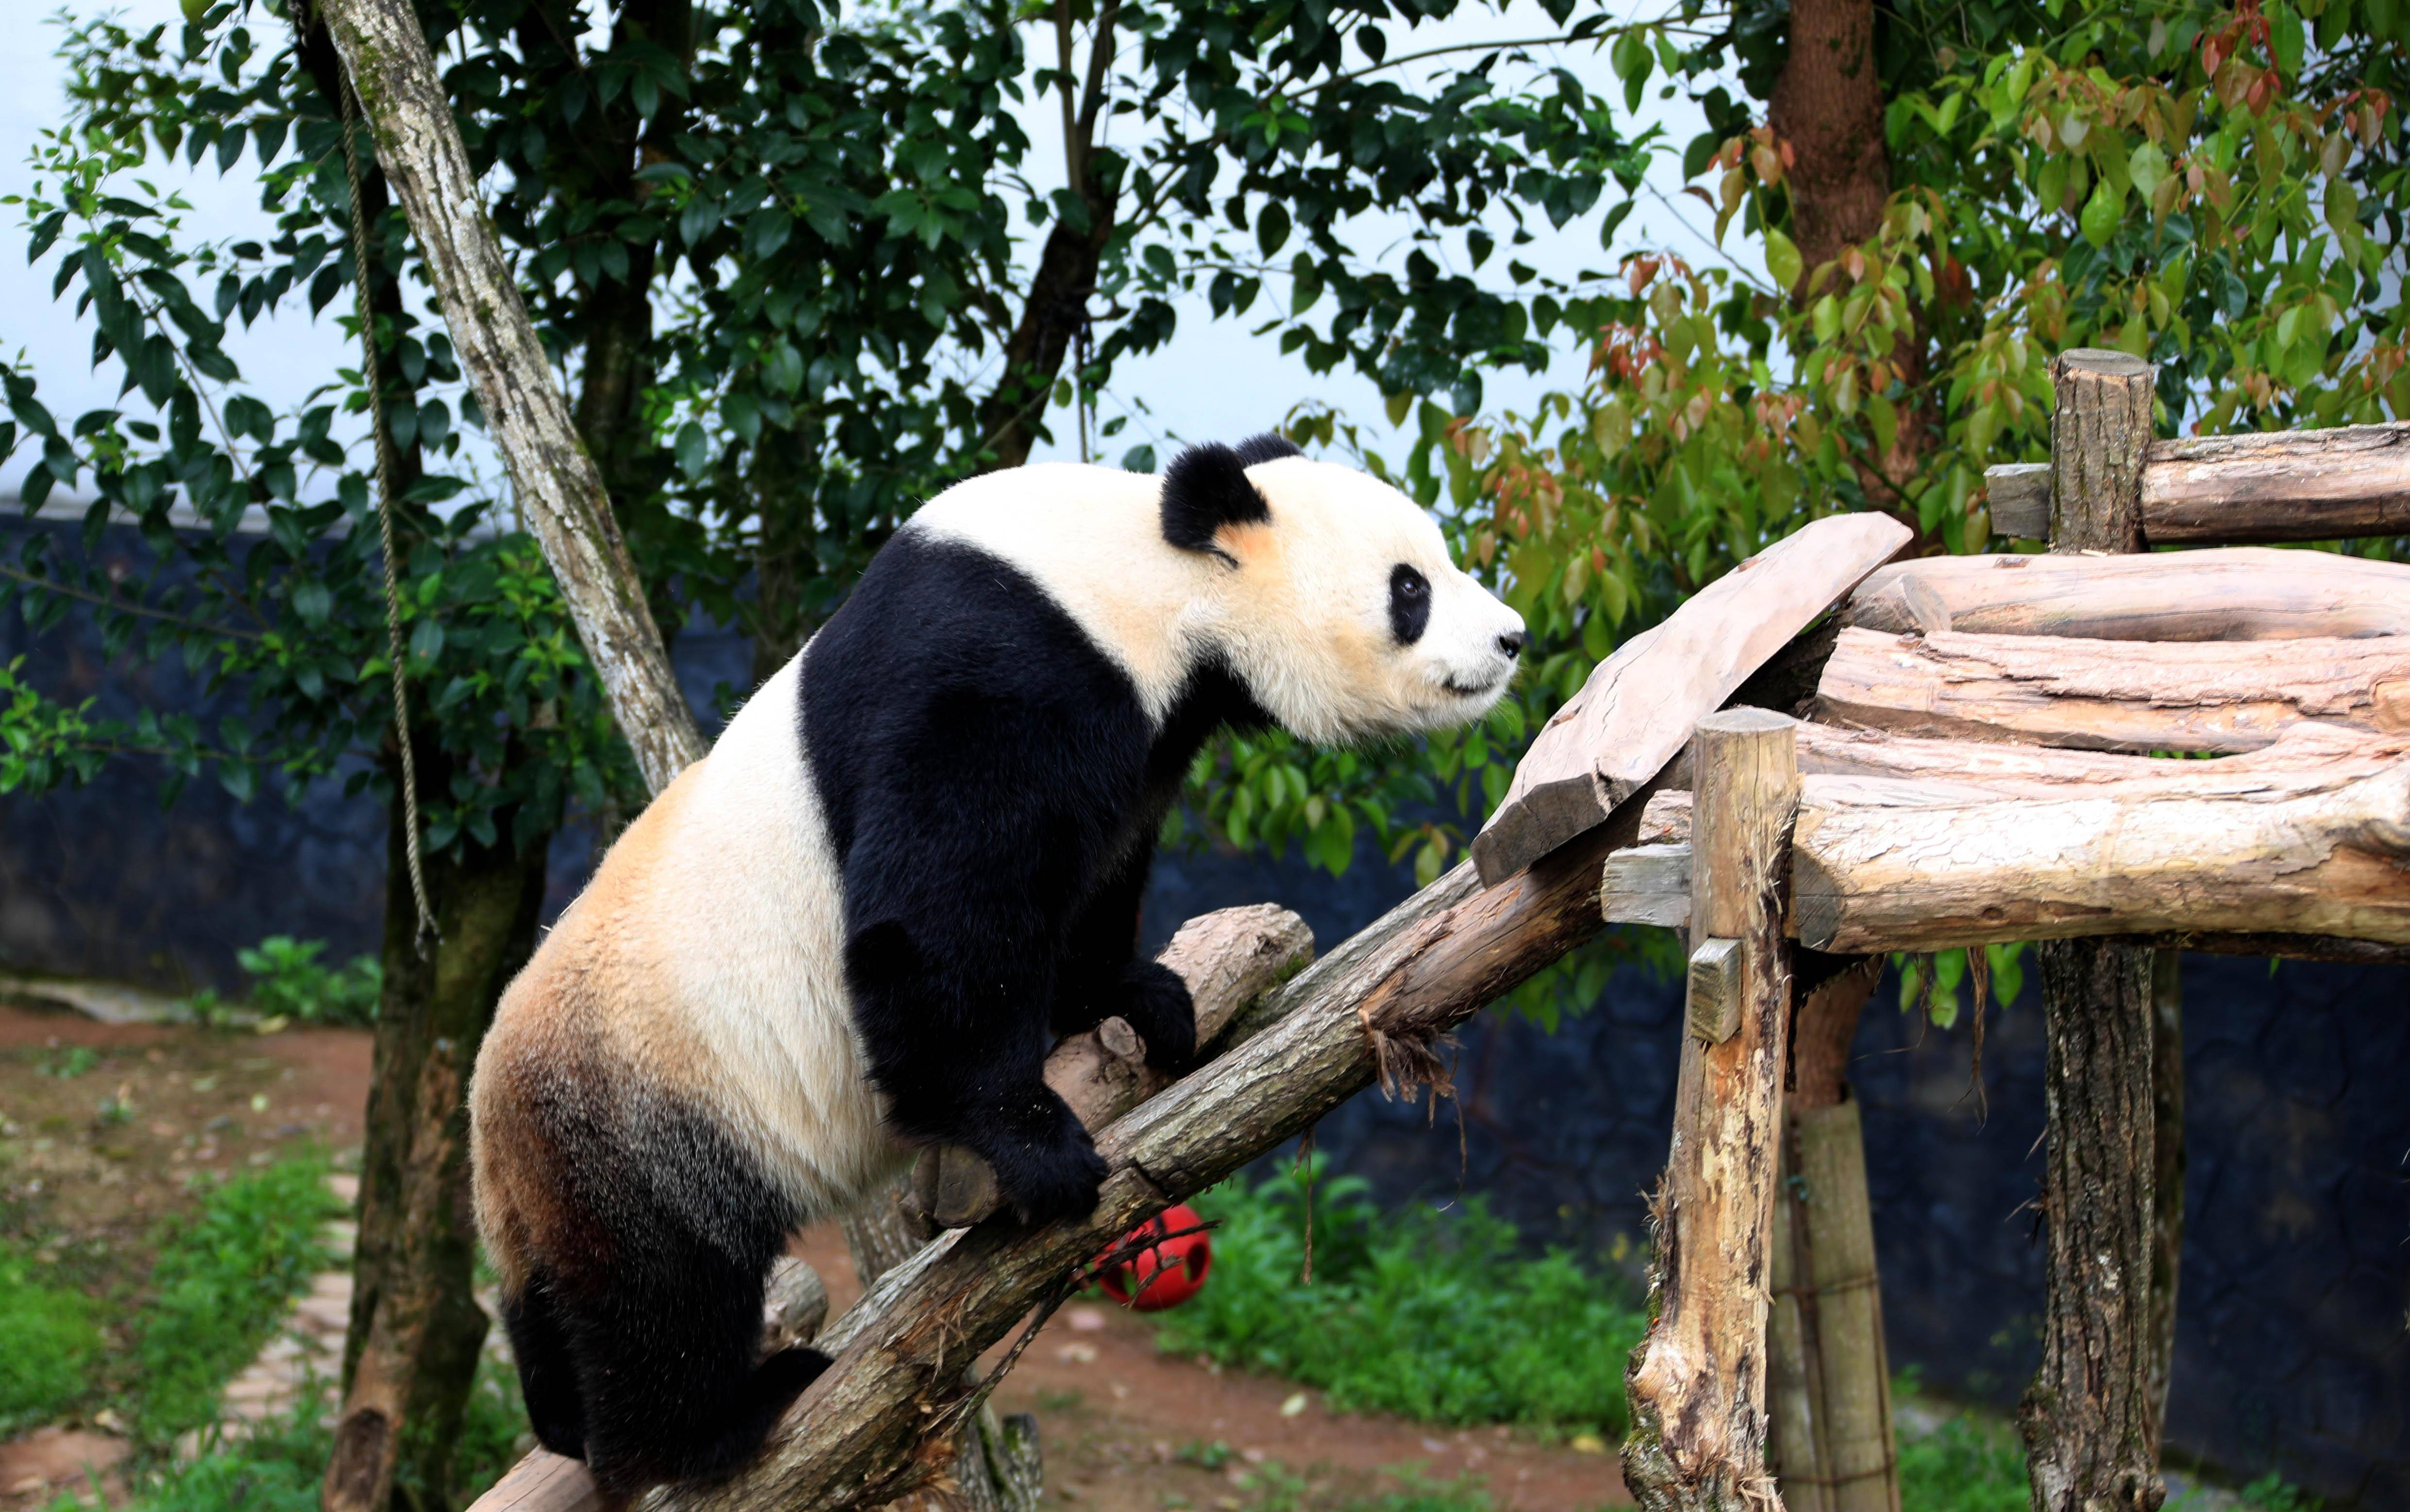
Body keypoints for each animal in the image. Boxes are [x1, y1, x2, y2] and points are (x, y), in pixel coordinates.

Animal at [470, 434, 1523, 1495]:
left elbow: (1096, 872)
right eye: (1410, 585)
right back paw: (711, 1424)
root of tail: (490, 1109)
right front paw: (1034, 1143)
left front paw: (1137, 995)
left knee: (557, 1304)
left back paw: (567, 1419)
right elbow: (943, 911)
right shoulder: (1001, 666)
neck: (1147, 574)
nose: (1513, 638)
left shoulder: (1140, 735)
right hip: (650, 1110)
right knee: (664, 1288)